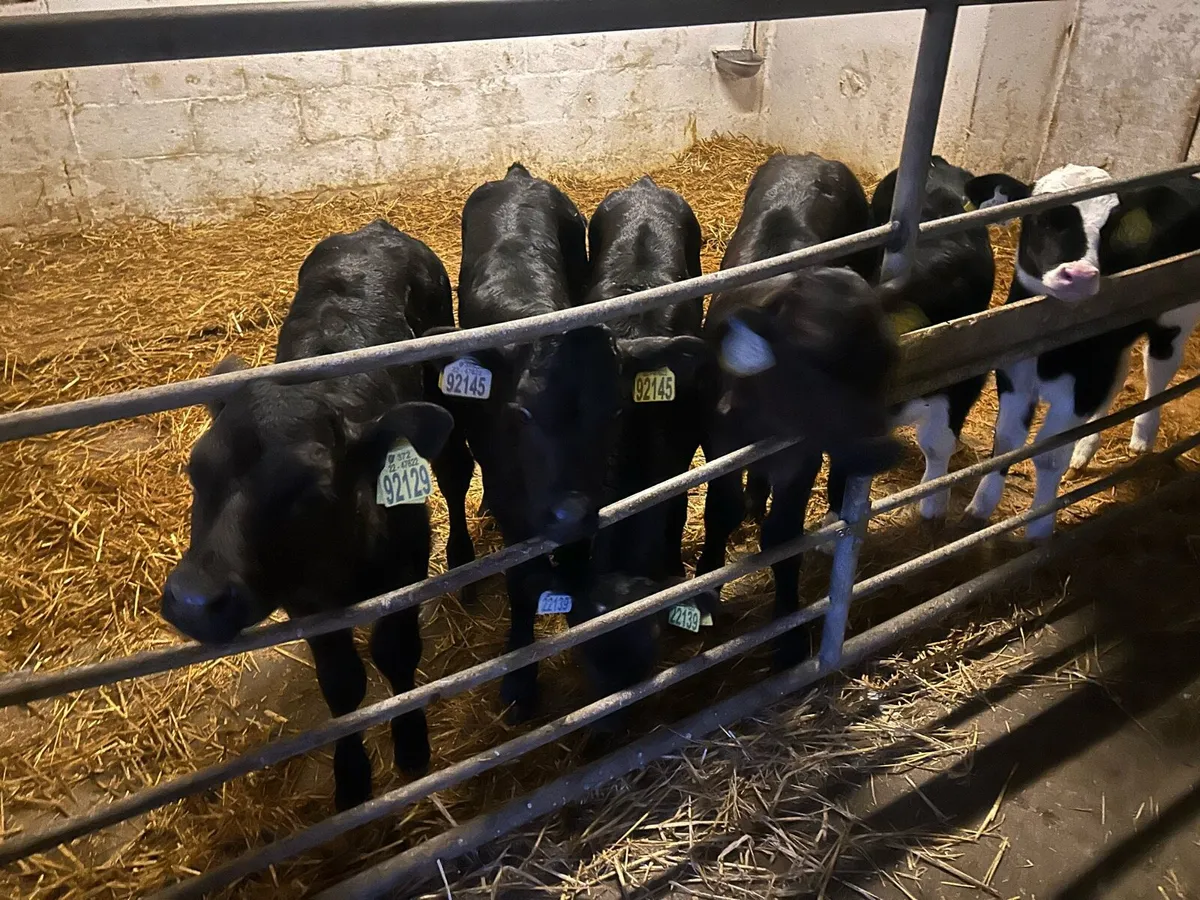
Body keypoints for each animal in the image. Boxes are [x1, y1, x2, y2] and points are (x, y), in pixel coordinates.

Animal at [160, 219, 474, 811]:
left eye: (308, 488)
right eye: (195, 469)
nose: (192, 600)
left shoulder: (405, 564)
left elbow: (396, 652)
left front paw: (412, 745)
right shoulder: (306, 602)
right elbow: (341, 681)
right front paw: (350, 776)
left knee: (455, 469)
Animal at [426, 162, 638, 720]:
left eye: (616, 411)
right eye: (520, 413)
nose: (569, 512)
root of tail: (518, 176)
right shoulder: (512, 499)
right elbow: (522, 583)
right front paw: (520, 678)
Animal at [695, 153, 901, 669]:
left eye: (889, 364)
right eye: (814, 372)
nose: (880, 450)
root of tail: (815, 158)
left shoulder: (801, 455)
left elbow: (783, 537)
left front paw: (788, 632)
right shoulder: (718, 441)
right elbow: (720, 511)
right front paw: (704, 591)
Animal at [962, 165, 1200, 539]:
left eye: (1114, 225)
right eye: (1042, 218)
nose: (1080, 275)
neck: (1054, 356)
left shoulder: (1085, 382)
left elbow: (1048, 455)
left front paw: (1039, 527)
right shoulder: (1016, 373)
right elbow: (1006, 442)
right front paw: (980, 507)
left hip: (1176, 316)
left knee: (1157, 370)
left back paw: (1142, 436)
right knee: (1120, 375)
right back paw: (1084, 451)